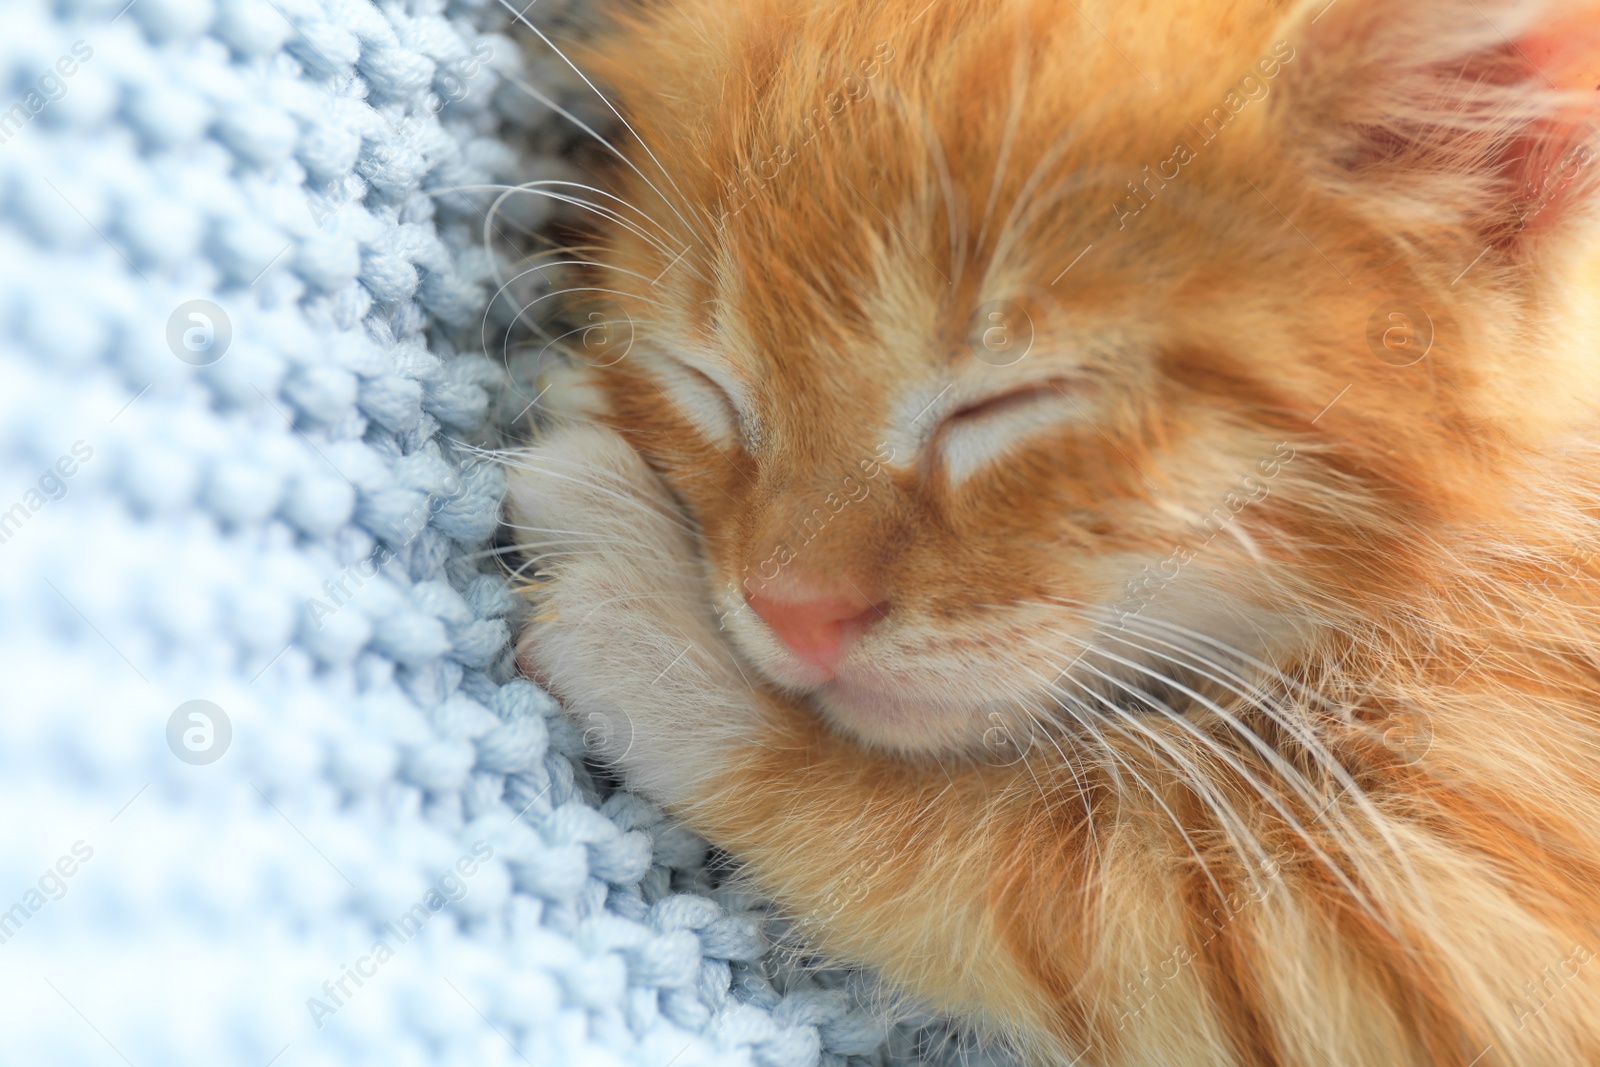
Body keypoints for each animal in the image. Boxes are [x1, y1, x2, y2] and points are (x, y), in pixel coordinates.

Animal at [512, 0, 1600, 1062]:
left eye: (1008, 401)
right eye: (705, 385)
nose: (795, 612)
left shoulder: (1448, 942)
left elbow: (1024, 877)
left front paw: (647, 613)